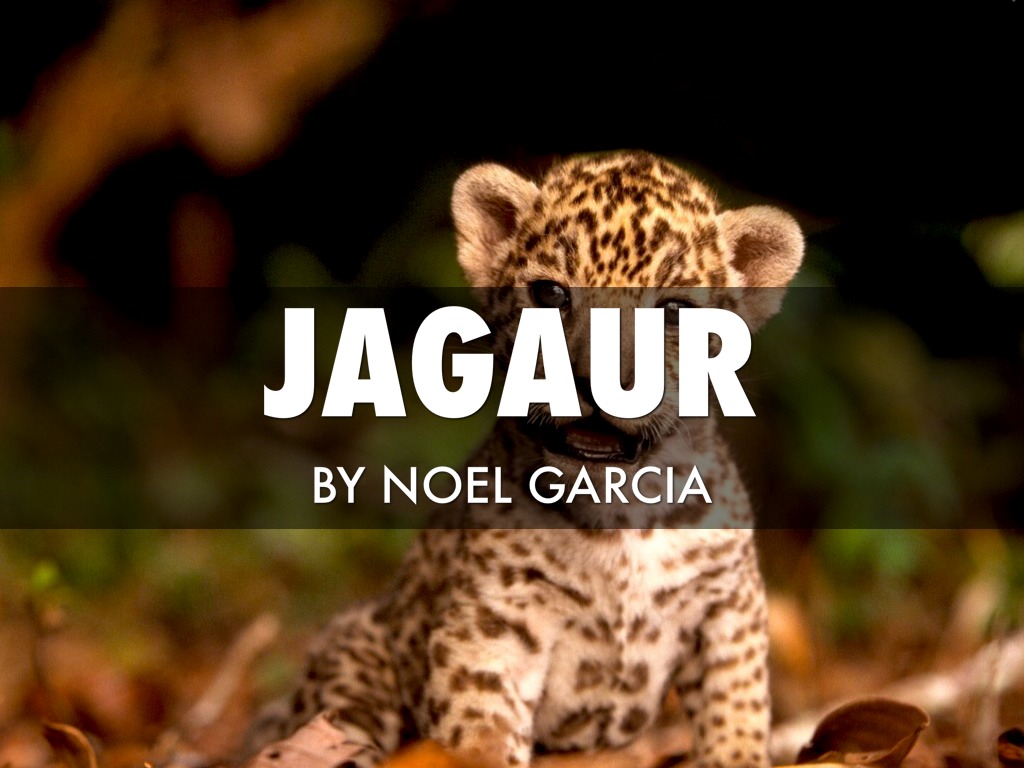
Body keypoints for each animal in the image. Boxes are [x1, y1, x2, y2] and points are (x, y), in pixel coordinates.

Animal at [249, 151, 804, 768]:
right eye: (551, 294)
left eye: (675, 311)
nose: (595, 380)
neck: (619, 504)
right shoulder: (493, 625)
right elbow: (483, 731)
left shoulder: (729, 609)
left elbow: (736, 711)